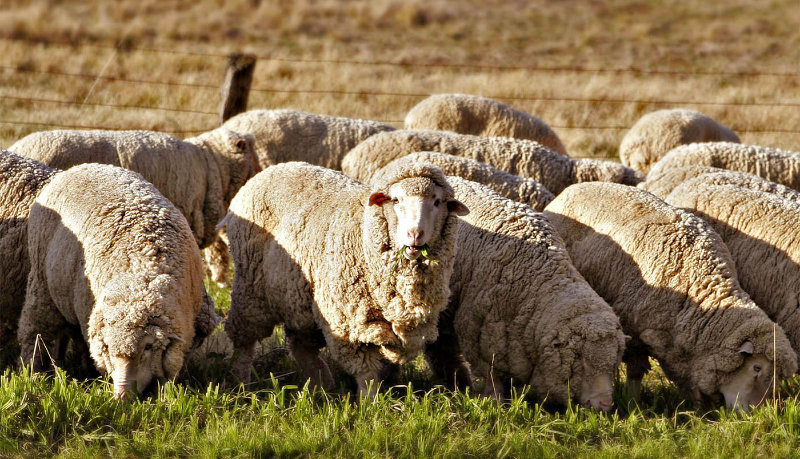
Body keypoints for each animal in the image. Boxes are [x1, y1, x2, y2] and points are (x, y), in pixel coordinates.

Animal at [18, 163, 206, 398]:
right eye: (108, 347)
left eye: (148, 346)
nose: (122, 397)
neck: (142, 274)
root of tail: (79, 167)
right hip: (41, 282)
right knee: (35, 331)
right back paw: (32, 371)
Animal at [223, 161, 468, 396]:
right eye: (396, 200)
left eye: (437, 202)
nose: (415, 235)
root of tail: (270, 170)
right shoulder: (349, 323)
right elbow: (366, 372)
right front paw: (370, 402)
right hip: (250, 287)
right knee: (245, 340)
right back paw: (241, 382)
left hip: (297, 297)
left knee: (300, 343)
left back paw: (321, 384)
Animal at [419, 174, 625, 410]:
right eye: (581, 360)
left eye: (614, 363)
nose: (605, 405)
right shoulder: (479, 334)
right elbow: (492, 375)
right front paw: (495, 401)